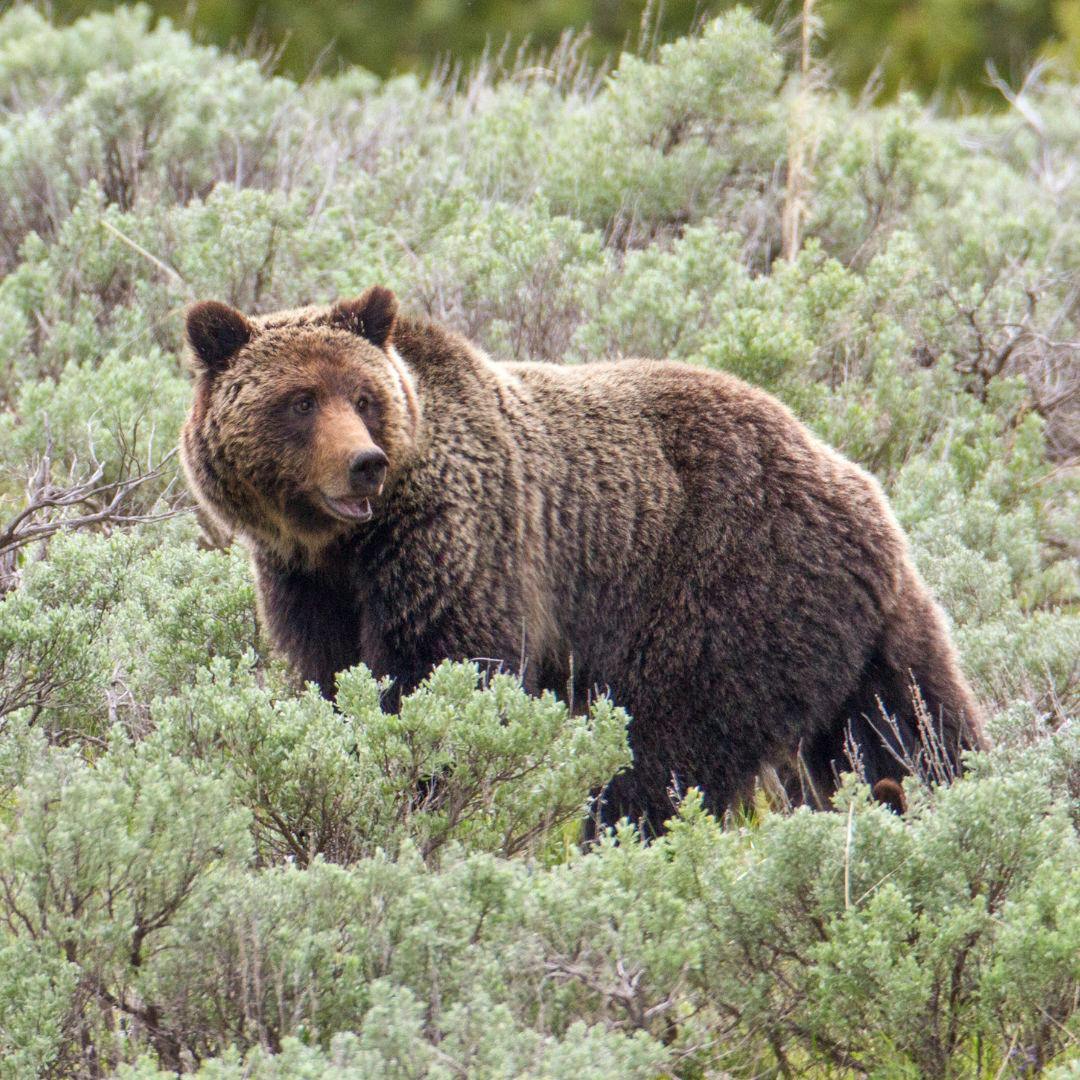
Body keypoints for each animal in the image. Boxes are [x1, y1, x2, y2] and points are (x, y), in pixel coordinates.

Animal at [181, 286, 985, 833]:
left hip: (724, 591)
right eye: (300, 400)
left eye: (363, 396)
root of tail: (860, 488)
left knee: (664, 751)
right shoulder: (309, 586)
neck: (345, 546)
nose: (364, 465)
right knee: (909, 726)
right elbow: (333, 680)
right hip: (859, 630)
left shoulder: (458, 546)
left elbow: (443, 676)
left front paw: (429, 792)